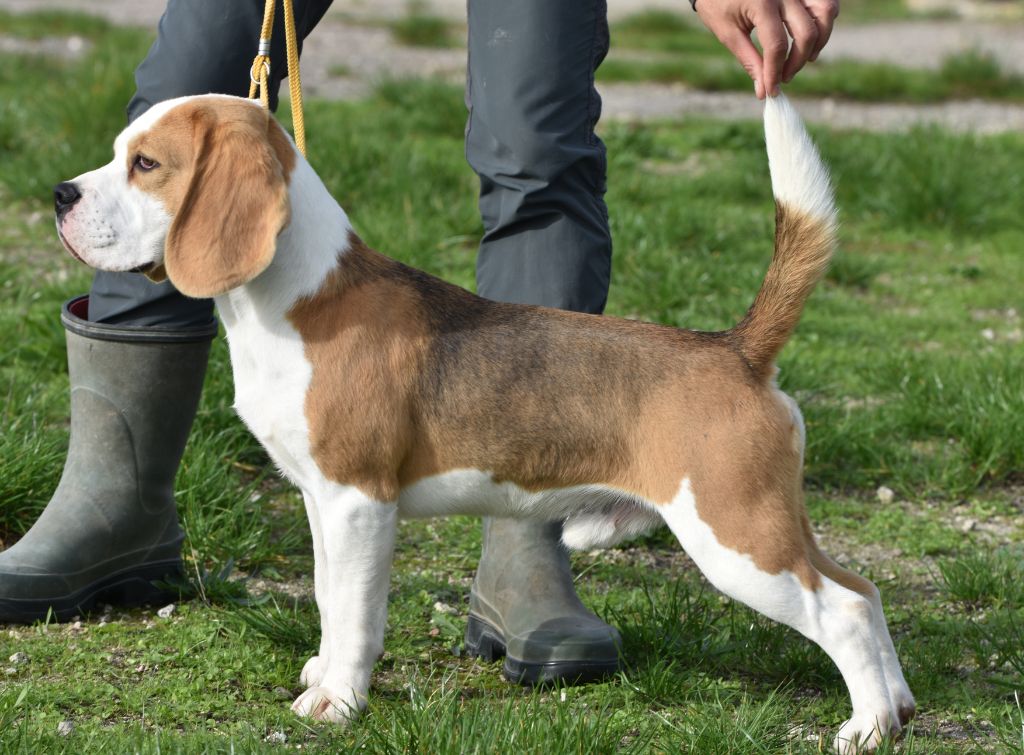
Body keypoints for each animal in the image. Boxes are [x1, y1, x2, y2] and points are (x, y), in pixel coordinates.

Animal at [56, 94, 917, 753]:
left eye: (146, 164)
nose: (61, 194)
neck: (298, 297)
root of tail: (735, 347)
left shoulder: (358, 501)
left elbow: (356, 613)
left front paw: (339, 700)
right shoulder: (319, 502)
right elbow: (331, 600)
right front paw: (323, 673)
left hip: (735, 537)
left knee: (842, 609)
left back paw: (868, 726)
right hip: (768, 525)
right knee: (864, 590)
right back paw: (899, 705)